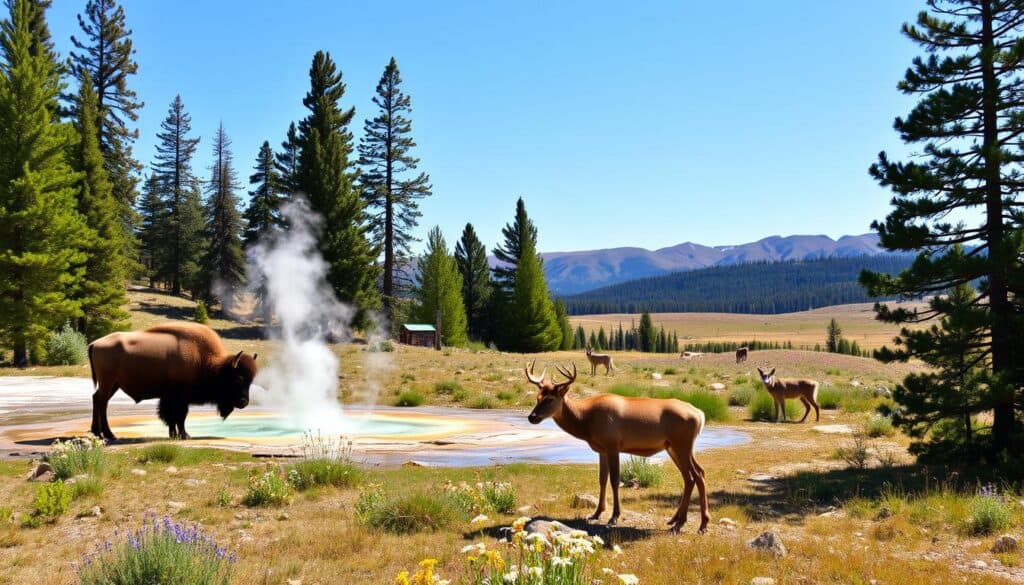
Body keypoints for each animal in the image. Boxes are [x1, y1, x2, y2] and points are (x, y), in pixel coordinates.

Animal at [88, 325, 258, 438]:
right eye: (238, 378)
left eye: (250, 381)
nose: (244, 402)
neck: (205, 360)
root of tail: (95, 343)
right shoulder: (179, 397)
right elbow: (179, 415)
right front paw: (184, 435)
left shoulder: (171, 397)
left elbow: (172, 416)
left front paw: (174, 435)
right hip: (108, 381)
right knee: (101, 401)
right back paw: (108, 435)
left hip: (114, 384)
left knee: (98, 399)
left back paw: (99, 433)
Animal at [528, 358, 704, 532]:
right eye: (537, 397)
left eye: (550, 399)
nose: (532, 417)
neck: (586, 421)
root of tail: (700, 415)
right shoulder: (601, 449)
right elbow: (602, 479)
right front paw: (596, 513)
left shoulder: (612, 444)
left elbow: (614, 480)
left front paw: (614, 517)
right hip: (674, 447)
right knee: (697, 474)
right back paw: (684, 521)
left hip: (682, 444)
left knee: (693, 476)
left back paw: (688, 524)